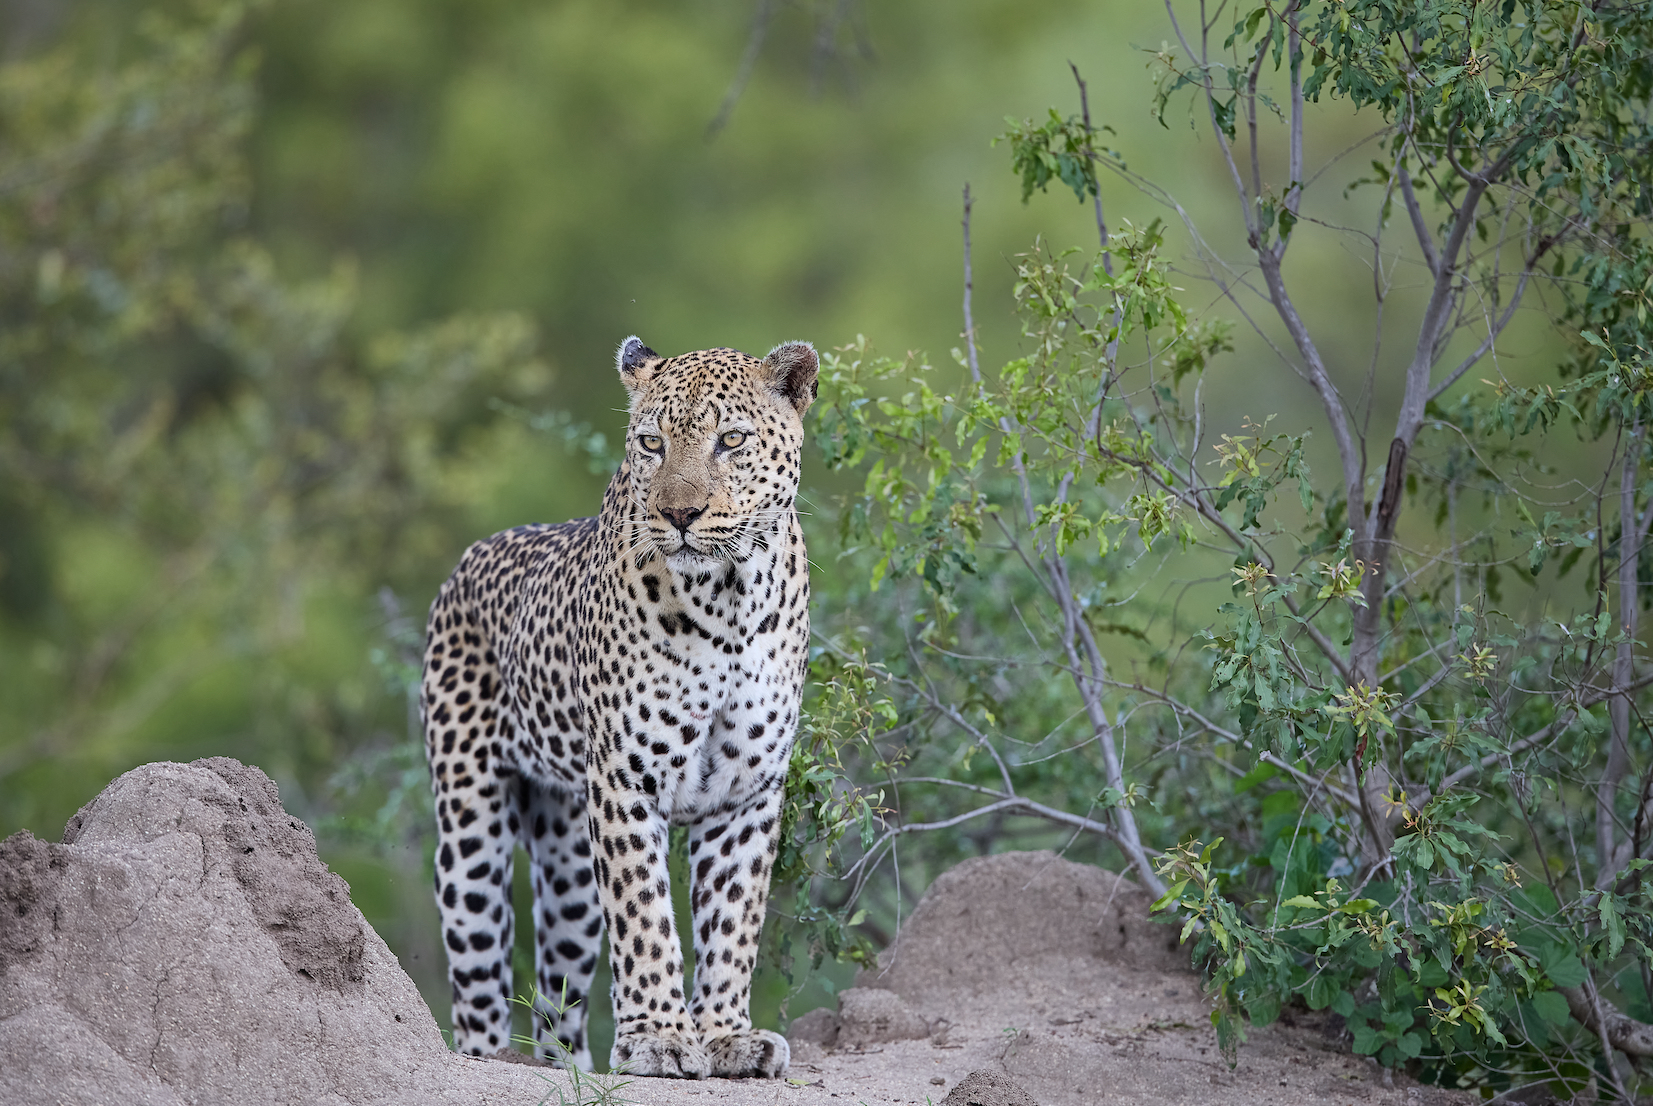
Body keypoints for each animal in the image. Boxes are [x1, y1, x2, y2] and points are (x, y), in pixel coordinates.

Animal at [419, 336, 817, 1079]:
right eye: (651, 443)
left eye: (731, 440)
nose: (680, 516)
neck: (730, 598)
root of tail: (470, 556)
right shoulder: (628, 782)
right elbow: (643, 915)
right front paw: (659, 1038)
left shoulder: (747, 791)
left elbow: (732, 919)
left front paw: (725, 1037)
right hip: (469, 829)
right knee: (478, 979)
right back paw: (492, 1058)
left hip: (570, 856)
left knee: (558, 1000)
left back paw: (569, 1068)